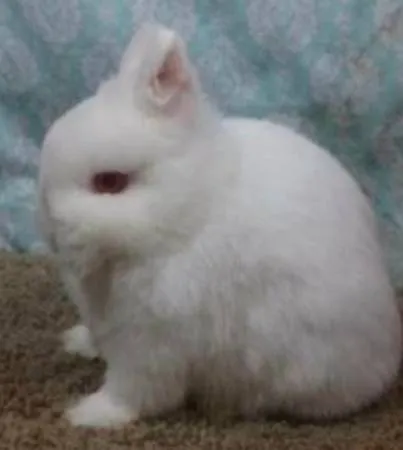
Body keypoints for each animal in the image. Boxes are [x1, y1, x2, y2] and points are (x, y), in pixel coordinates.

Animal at [37, 23, 402, 428]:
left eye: (109, 182)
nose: (50, 229)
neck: (187, 220)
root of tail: (387, 358)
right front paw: (77, 342)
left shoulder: (152, 344)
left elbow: (134, 394)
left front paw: (85, 415)